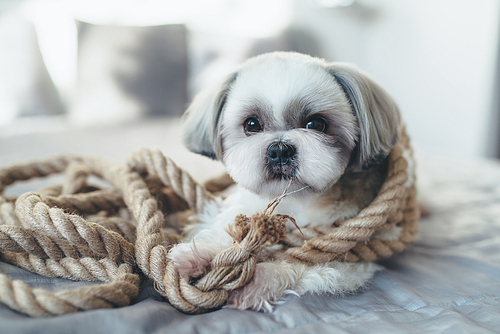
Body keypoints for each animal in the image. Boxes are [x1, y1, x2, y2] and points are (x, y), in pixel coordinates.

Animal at [169, 51, 410, 310]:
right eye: (251, 124)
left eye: (316, 124)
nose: (280, 149)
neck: (295, 199)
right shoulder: (243, 205)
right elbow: (227, 228)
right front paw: (202, 253)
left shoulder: (358, 253)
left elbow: (306, 263)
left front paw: (261, 279)